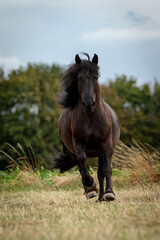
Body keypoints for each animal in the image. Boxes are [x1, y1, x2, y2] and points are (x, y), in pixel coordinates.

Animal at [52, 53, 120, 202]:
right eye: (79, 78)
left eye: (96, 77)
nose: (89, 104)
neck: (91, 118)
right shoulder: (78, 143)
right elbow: (83, 163)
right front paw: (91, 187)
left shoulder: (106, 145)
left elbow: (107, 169)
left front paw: (109, 193)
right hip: (72, 152)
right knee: (81, 167)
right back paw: (93, 192)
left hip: (100, 152)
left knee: (100, 172)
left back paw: (102, 197)